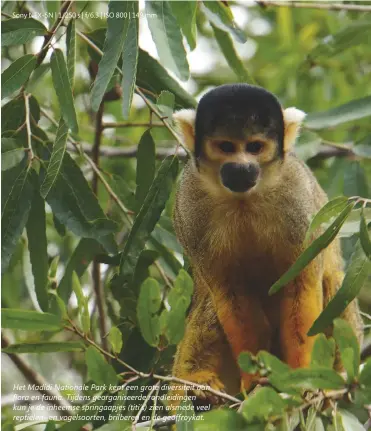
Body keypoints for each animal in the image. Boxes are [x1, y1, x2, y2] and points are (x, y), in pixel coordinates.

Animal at [171, 83, 364, 402]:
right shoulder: (189, 201)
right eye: (226, 147)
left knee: (333, 284)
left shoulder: (298, 197)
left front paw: (302, 379)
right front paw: (254, 378)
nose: (242, 168)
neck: (245, 199)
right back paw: (195, 385)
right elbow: (231, 295)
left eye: (255, 147)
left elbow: (301, 286)